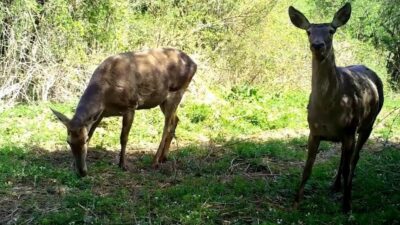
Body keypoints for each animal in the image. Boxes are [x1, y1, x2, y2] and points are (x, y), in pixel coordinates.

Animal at [50, 48, 198, 178]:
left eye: (84, 140)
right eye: (68, 141)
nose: (82, 172)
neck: (105, 94)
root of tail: (194, 64)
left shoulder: (130, 106)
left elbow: (123, 137)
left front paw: (122, 164)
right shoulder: (101, 114)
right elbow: (92, 132)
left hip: (177, 91)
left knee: (166, 127)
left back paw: (155, 161)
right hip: (163, 100)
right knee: (176, 120)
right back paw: (164, 157)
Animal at [288, 2, 384, 212]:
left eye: (331, 31)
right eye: (308, 31)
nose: (317, 45)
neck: (328, 109)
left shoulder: (350, 128)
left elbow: (348, 165)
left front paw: (347, 205)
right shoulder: (313, 131)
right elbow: (307, 167)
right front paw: (296, 202)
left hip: (368, 124)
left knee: (354, 159)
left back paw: (345, 188)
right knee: (344, 158)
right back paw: (336, 185)